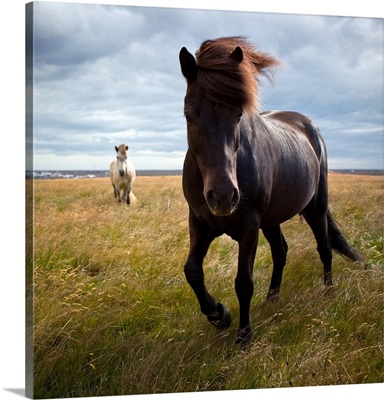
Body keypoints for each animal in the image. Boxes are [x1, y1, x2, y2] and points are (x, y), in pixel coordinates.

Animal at [178, 36, 362, 346]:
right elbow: (192, 271)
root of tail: (308, 125)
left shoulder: (249, 225)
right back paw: (272, 299)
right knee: (281, 251)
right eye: (189, 115)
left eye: (238, 114)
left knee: (324, 248)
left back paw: (328, 292)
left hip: (315, 207)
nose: (223, 196)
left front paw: (243, 337)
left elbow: (243, 282)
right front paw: (219, 315)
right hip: (272, 219)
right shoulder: (200, 221)